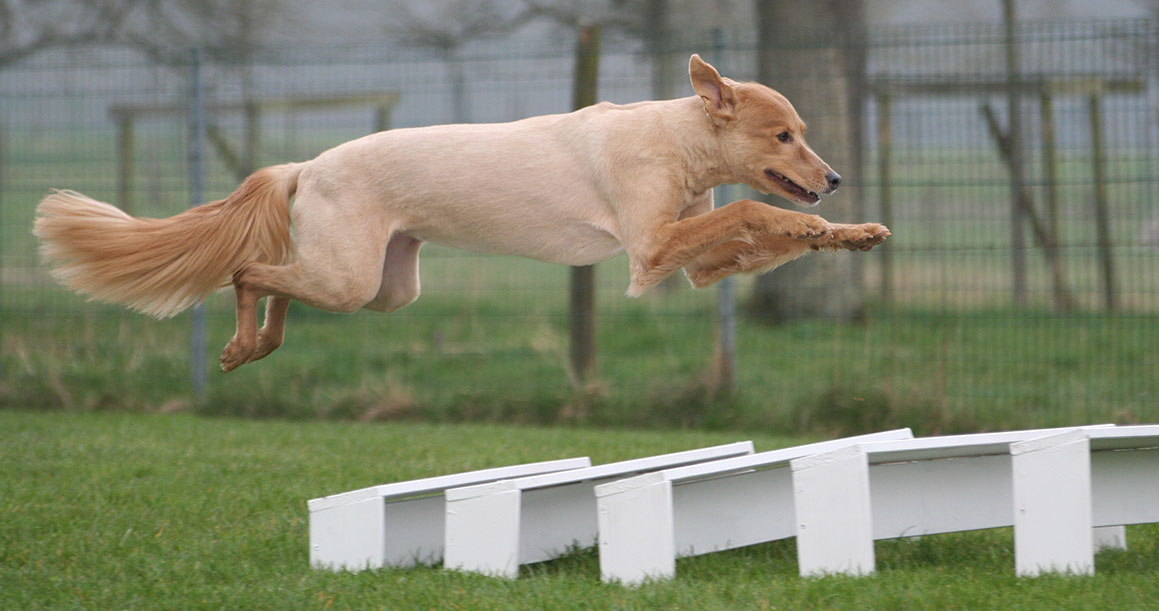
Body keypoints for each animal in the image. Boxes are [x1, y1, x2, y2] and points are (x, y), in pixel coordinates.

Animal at [33, 55, 885, 373]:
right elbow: (753, 208)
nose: (835, 177)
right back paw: (246, 343)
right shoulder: (650, 251)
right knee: (247, 269)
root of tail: (308, 165)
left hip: (383, 287)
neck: (676, 139)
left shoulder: (696, 263)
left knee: (274, 277)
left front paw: (849, 233)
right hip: (351, 277)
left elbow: (757, 227)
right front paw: (812, 224)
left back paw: (259, 345)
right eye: (783, 135)